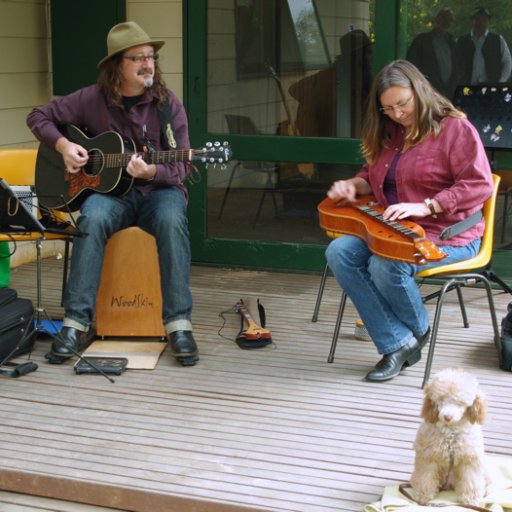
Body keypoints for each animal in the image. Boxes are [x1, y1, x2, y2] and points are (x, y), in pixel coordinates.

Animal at [408, 368, 492, 504]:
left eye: (460, 402)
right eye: (440, 399)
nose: (447, 417)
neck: (451, 435)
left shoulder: (470, 460)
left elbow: (471, 481)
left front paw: (471, 499)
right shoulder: (428, 457)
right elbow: (425, 477)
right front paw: (423, 495)